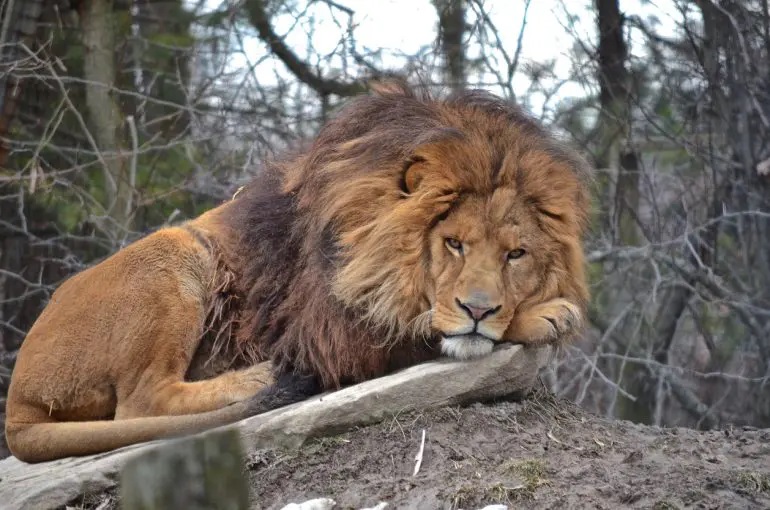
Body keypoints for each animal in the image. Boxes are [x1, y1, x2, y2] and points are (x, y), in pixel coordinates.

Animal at [5, 81, 591, 463]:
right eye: (454, 244)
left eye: (516, 254)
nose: (478, 309)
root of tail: (16, 400)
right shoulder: (330, 335)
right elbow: (422, 328)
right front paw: (543, 315)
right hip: (176, 250)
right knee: (139, 404)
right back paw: (259, 376)